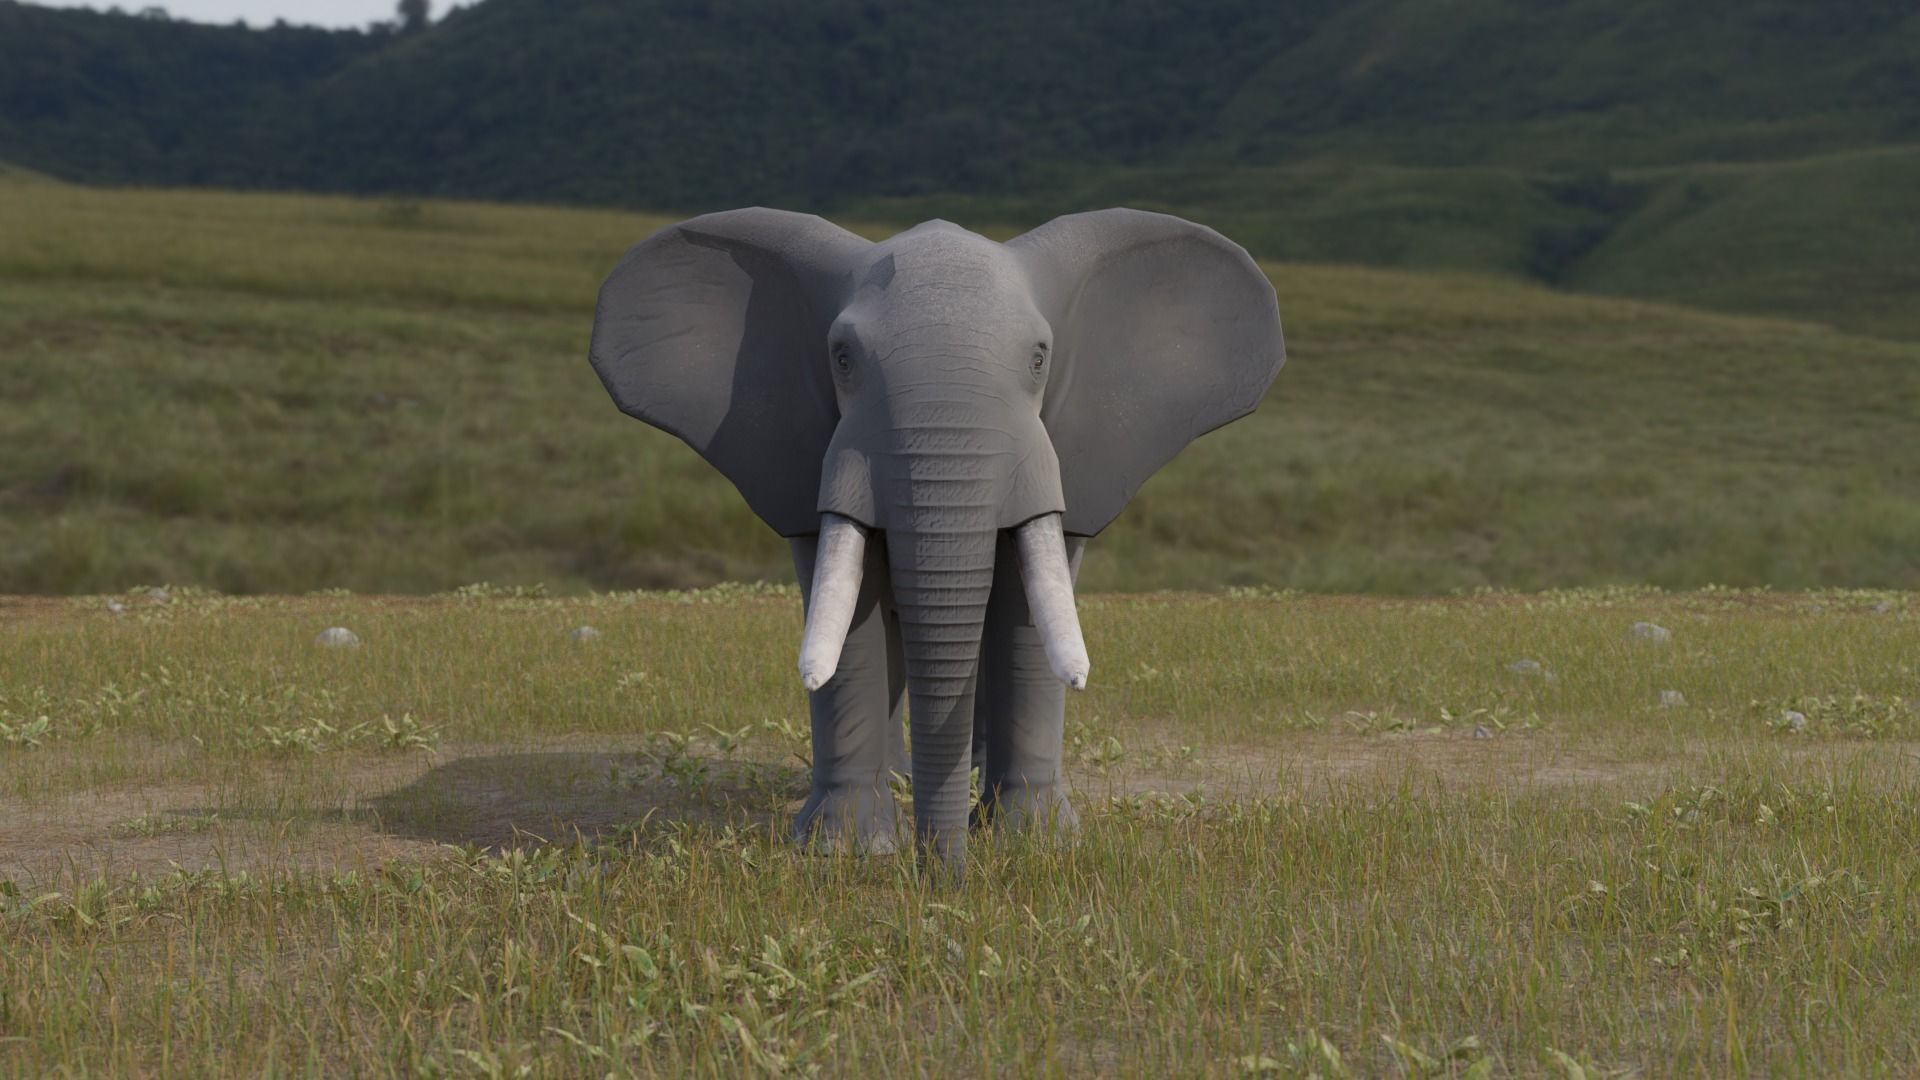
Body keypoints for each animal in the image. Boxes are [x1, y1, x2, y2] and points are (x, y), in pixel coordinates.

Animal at [589, 208, 1285, 879]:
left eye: (1039, 359)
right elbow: (850, 622)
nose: (942, 878)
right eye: (842, 357)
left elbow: (1025, 614)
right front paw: (848, 851)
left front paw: (1033, 844)